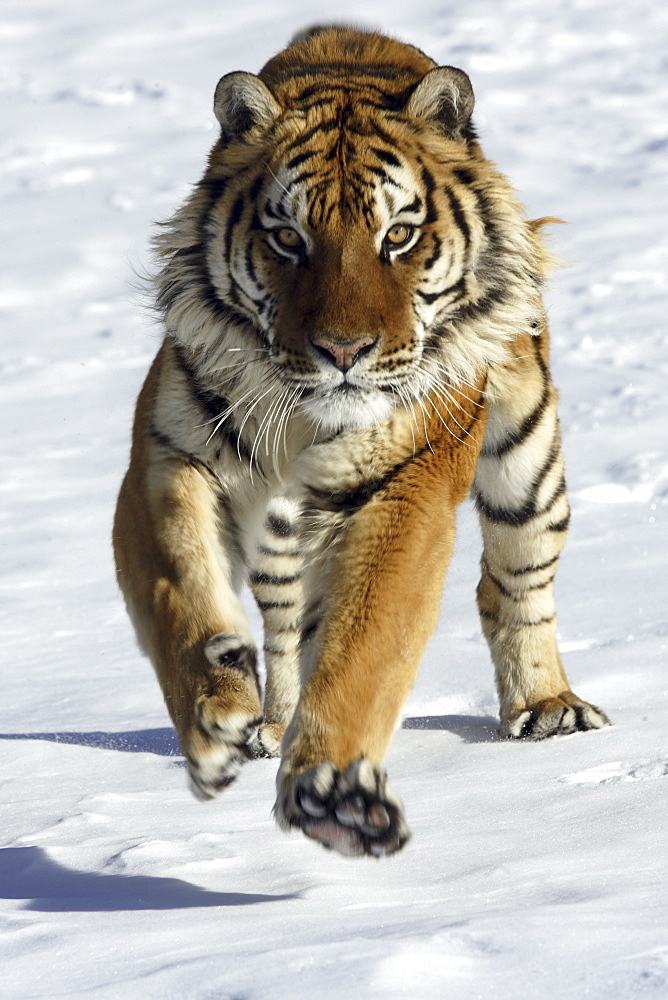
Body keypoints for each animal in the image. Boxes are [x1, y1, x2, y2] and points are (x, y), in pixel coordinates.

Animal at [115, 23, 612, 856]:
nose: (343, 351)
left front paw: (335, 794)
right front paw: (216, 718)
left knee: (513, 578)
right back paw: (272, 719)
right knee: (287, 620)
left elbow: (366, 648)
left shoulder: (404, 489)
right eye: (288, 239)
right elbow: (177, 587)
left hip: (526, 460)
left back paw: (547, 707)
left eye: (399, 236)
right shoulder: (166, 456)